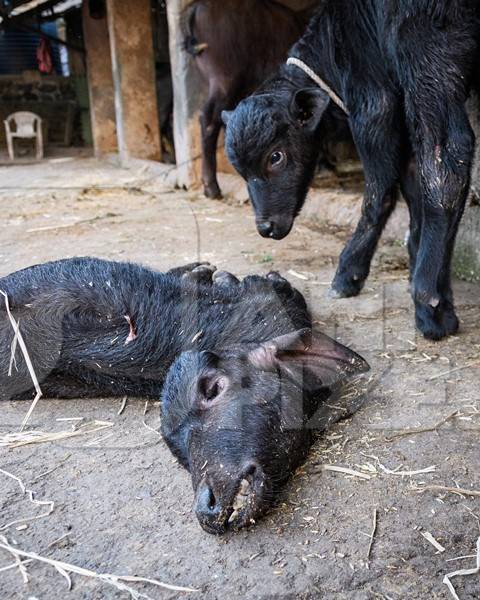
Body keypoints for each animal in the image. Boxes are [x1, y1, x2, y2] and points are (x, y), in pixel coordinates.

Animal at [225, 0, 480, 342]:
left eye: (275, 156)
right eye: (239, 170)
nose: (266, 227)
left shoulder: (375, 108)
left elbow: (379, 189)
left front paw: (349, 274)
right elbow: (412, 183)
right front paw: (414, 257)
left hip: (428, 53)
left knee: (445, 156)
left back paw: (431, 304)